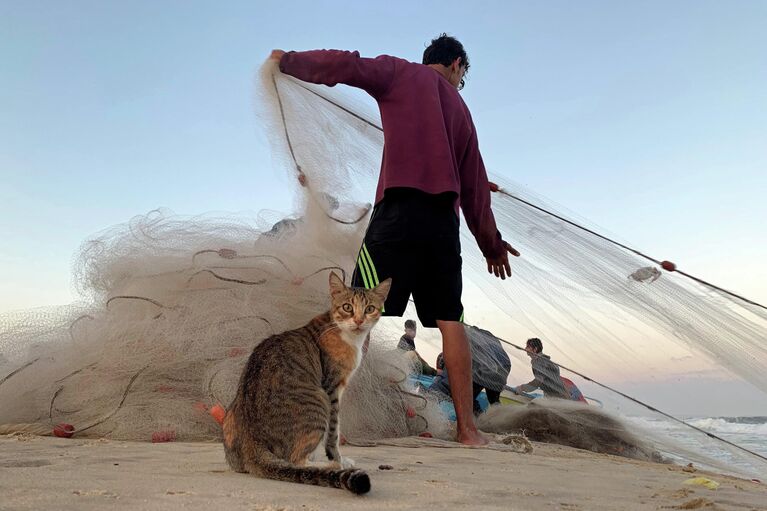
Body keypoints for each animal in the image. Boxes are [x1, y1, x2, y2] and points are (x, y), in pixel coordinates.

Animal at [222, 272, 390, 496]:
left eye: (369, 309)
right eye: (347, 307)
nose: (358, 320)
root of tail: (253, 441)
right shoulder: (333, 389)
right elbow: (334, 434)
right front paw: (338, 459)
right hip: (319, 399)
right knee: (296, 461)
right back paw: (329, 466)